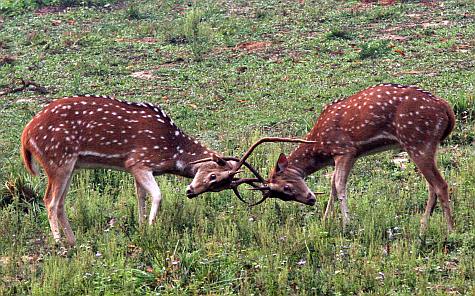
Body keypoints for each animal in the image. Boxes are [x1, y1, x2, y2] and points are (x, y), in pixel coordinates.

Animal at [20, 95, 264, 245]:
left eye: (219, 187)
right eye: (213, 176)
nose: (191, 192)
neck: (171, 150)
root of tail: (26, 135)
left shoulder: (139, 170)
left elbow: (140, 197)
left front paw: (141, 226)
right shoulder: (139, 162)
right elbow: (157, 195)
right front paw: (151, 228)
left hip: (70, 166)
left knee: (60, 202)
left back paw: (73, 241)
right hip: (58, 160)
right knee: (50, 200)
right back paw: (60, 243)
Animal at [232, 84, 460, 232]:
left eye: (286, 187)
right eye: (281, 196)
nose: (310, 199)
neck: (320, 146)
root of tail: (447, 109)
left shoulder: (345, 150)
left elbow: (339, 185)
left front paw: (347, 224)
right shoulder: (346, 155)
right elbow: (332, 185)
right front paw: (325, 221)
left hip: (418, 141)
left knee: (441, 184)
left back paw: (450, 230)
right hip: (427, 145)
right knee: (431, 186)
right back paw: (423, 227)